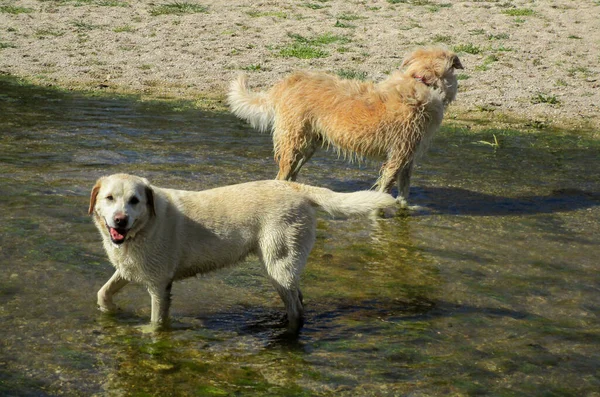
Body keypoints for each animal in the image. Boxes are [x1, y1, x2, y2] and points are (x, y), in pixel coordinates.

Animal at [88, 175, 394, 332]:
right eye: (110, 198)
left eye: (134, 201)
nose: (120, 220)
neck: (142, 228)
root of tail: (295, 187)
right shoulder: (129, 269)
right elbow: (102, 293)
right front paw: (111, 313)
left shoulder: (159, 286)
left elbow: (157, 324)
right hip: (286, 267)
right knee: (299, 298)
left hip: (277, 265)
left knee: (296, 309)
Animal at [227, 46, 462, 207]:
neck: (422, 82)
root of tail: (288, 81)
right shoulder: (399, 155)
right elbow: (387, 184)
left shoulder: (408, 156)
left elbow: (405, 187)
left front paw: (404, 207)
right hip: (294, 139)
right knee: (283, 173)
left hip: (309, 144)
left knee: (293, 173)